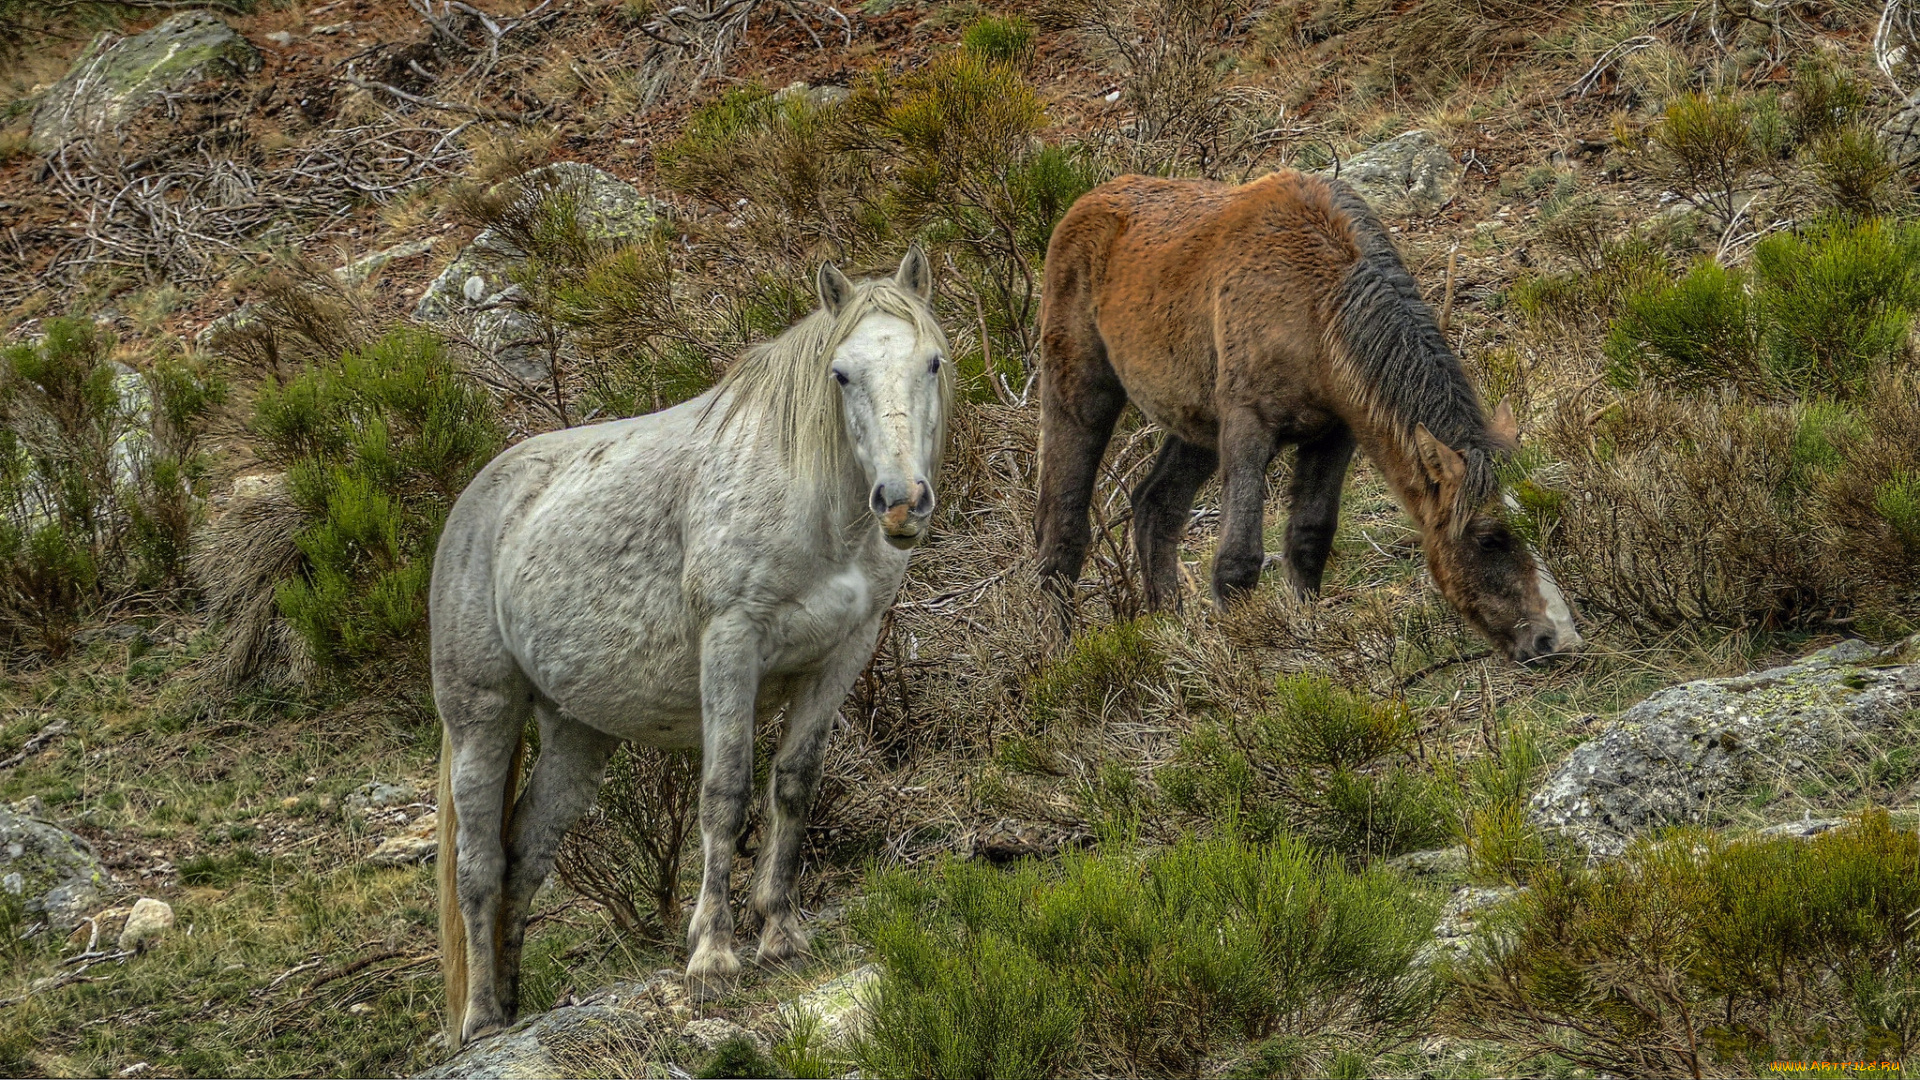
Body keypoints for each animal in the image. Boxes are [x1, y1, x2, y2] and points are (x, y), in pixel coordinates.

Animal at [432, 247, 948, 1037]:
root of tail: (474, 502)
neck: (816, 512)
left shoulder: (842, 655)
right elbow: (725, 793)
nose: (900, 502)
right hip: (482, 717)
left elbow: (793, 785)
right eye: (841, 373)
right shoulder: (731, 645)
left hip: (577, 732)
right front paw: (712, 954)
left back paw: (516, 1007)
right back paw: (485, 1018)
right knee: (480, 863)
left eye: (932, 362)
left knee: (526, 853)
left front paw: (780, 932)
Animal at [1044, 169, 1582, 661]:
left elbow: (1308, 538)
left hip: (1196, 425)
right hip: (1079, 393)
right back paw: (1055, 658)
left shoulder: (1334, 433)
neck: (1317, 306)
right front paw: (1245, 654)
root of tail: (1084, 205)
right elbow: (1238, 560)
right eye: (1489, 538)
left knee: (1156, 506)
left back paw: (1171, 635)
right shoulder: (1248, 428)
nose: (1557, 638)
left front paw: (1306, 637)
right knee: (1061, 526)